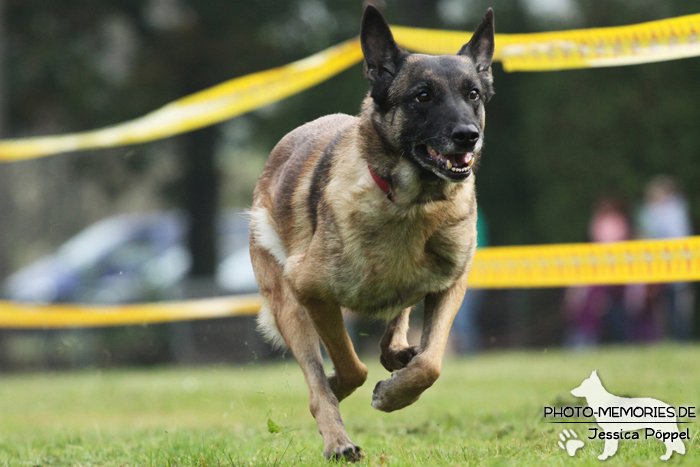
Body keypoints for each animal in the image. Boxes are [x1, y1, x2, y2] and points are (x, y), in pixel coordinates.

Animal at [249, 3, 494, 462]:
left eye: (473, 94)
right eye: (422, 96)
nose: (468, 137)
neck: (411, 202)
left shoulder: (451, 284)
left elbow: (430, 363)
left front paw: (396, 391)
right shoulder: (311, 292)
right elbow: (349, 367)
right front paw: (341, 388)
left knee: (399, 320)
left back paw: (396, 353)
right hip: (289, 306)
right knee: (320, 378)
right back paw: (338, 439)